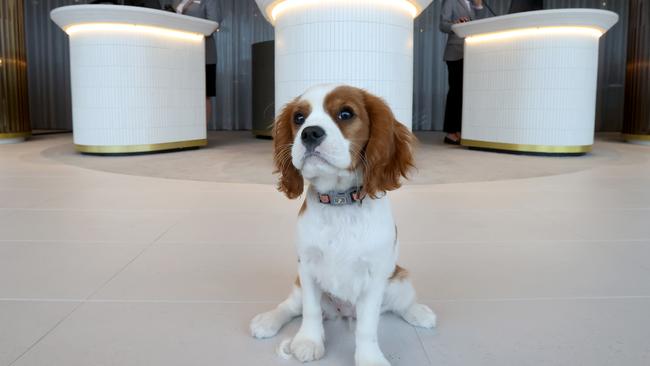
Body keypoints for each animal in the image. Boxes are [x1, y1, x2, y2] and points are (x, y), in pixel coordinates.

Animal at [248, 84, 436, 364]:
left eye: (346, 114)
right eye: (299, 118)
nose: (310, 133)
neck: (339, 203)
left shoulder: (374, 276)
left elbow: (367, 328)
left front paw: (369, 358)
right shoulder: (307, 267)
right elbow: (310, 310)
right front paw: (308, 341)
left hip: (399, 281)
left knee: (402, 304)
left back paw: (419, 313)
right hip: (299, 284)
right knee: (290, 306)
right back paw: (267, 321)